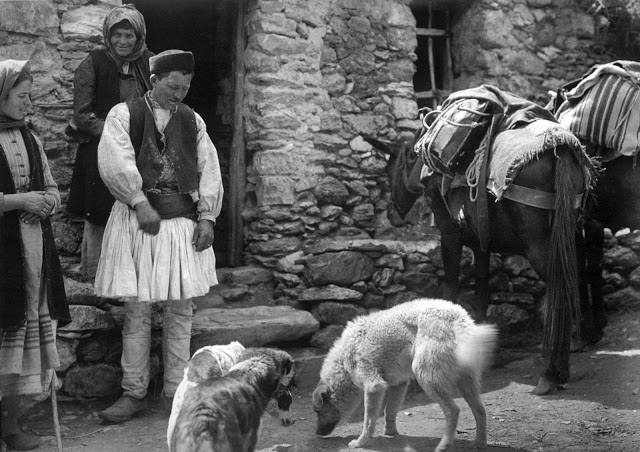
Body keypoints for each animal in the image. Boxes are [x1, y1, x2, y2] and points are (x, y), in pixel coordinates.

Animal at [312, 298, 498, 450]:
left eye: (318, 412)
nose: (316, 433)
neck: (343, 361)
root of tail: (459, 320)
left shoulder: (374, 386)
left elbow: (368, 421)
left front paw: (361, 442)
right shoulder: (398, 384)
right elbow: (389, 411)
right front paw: (390, 432)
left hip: (426, 377)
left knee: (453, 411)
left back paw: (444, 445)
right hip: (467, 383)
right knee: (480, 410)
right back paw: (479, 444)